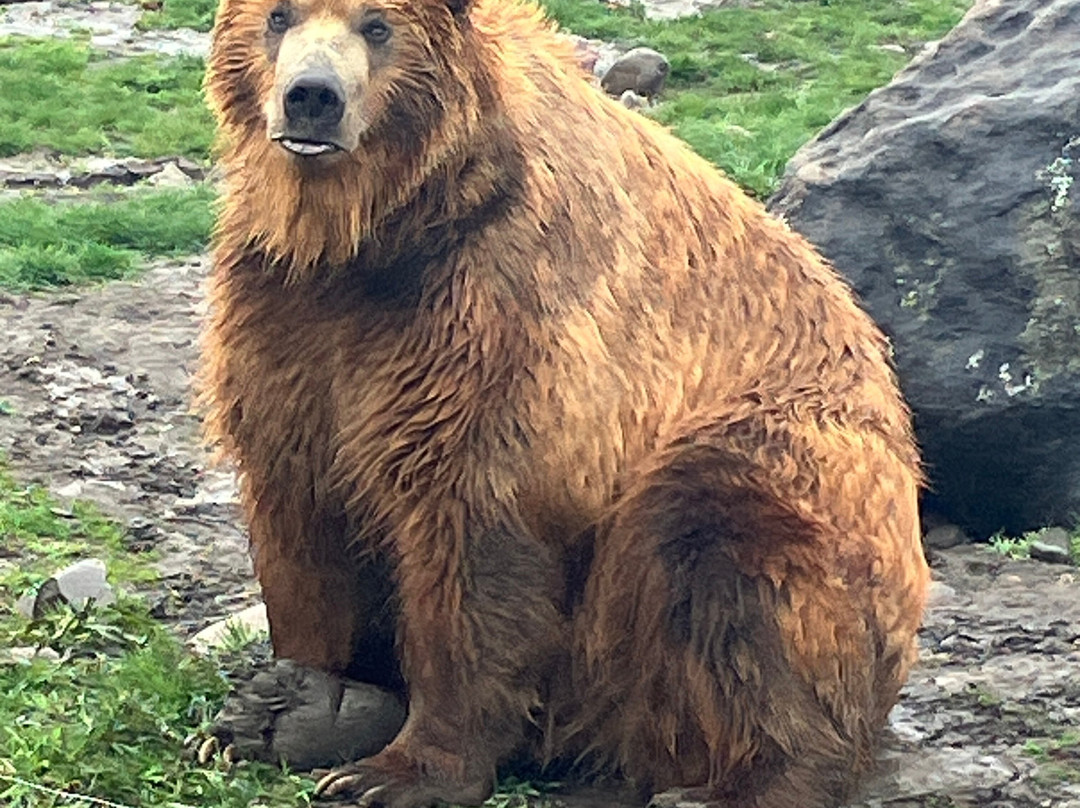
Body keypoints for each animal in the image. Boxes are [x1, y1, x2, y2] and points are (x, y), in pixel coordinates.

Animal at [200, 0, 930, 805]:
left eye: (378, 26)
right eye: (277, 17)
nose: (313, 97)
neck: (373, 235)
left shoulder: (495, 314)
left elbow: (476, 540)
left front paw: (404, 770)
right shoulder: (290, 322)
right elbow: (300, 516)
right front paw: (294, 700)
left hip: (793, 462)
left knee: (721, 546)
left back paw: (731, 782)